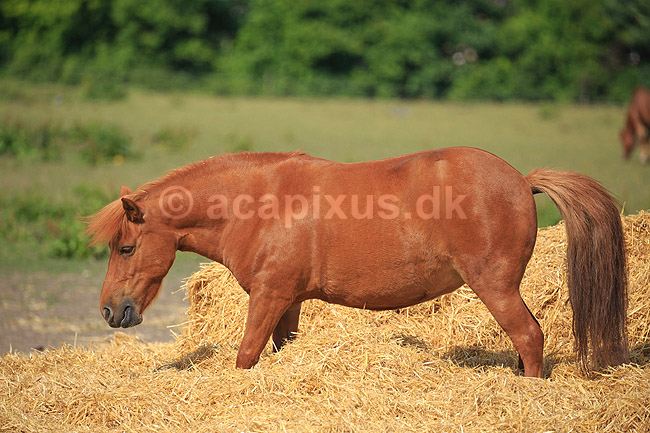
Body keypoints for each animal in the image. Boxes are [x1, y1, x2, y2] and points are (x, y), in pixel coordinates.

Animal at [86, 147, 628, 378]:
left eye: (126, 248)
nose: (111, 310)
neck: (257, 202)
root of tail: (521, 179)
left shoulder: (267, 296)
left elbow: (245, 357)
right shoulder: (287, 302)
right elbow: (276, 350)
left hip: (495, 287)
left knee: (531, 337)